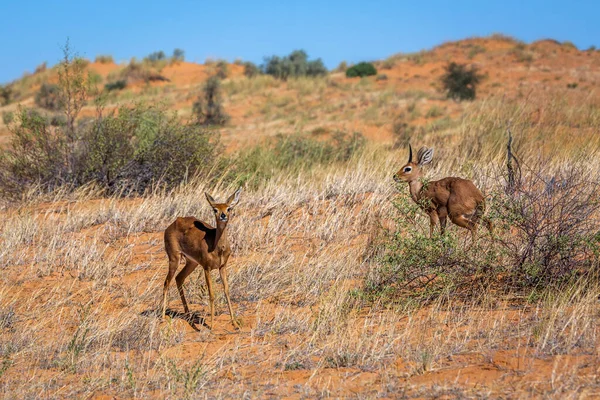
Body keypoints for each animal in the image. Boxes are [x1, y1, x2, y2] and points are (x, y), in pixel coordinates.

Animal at [163, 189, 243, 330]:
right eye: (215, 209)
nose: (223, 216)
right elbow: (211, 294)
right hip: (174, 259)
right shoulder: (207, 268)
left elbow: (227, 291)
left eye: (229, 208)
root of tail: (170, 226)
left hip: (192, 263)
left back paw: (189, 316)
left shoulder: (222, 267)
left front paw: (235, 323)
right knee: (166, 283)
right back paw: (162, 317)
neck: (217, 247)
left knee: (179, 278)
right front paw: (211, 326)